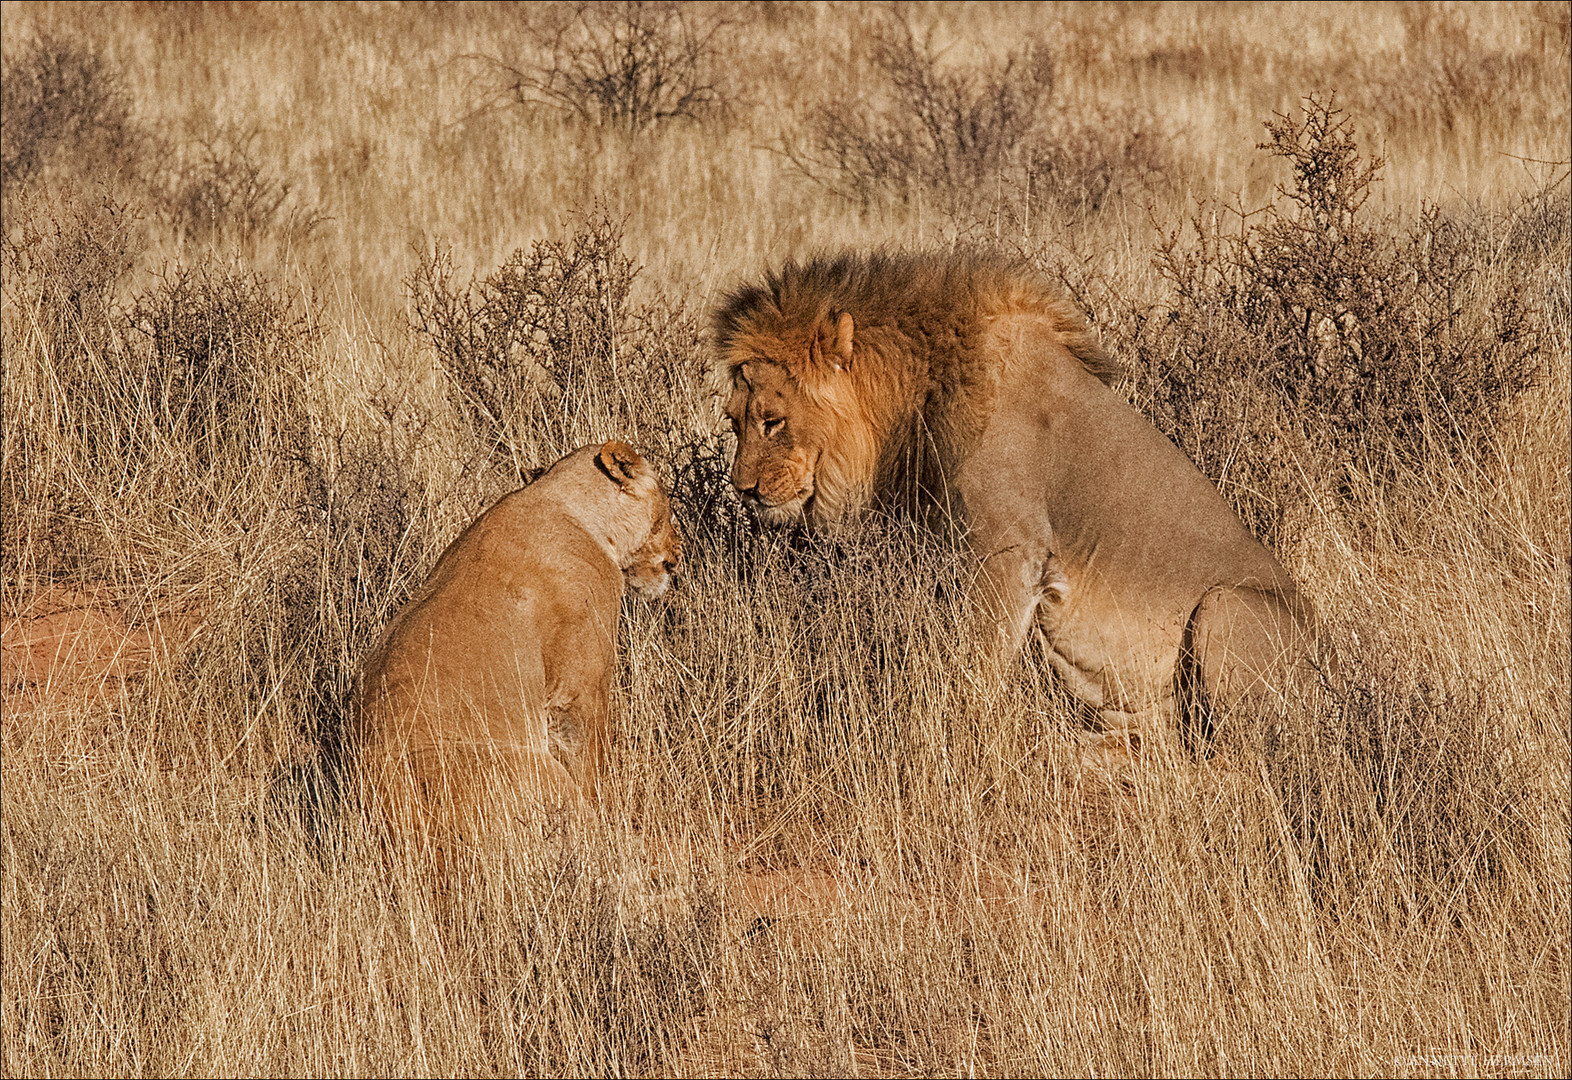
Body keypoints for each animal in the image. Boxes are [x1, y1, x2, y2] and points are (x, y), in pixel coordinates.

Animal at [719, 253, 1320, 742]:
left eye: (772, 421)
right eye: (732, 422)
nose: (743, 489)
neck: (917, 398)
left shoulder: (1008, 553)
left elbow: (975, 668)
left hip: (1224, 608)